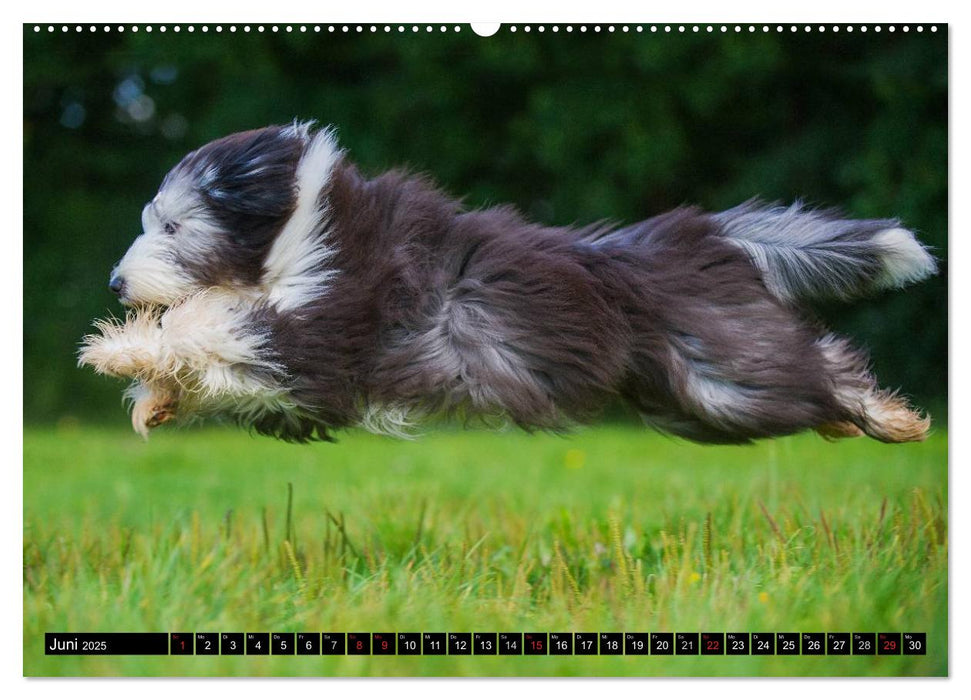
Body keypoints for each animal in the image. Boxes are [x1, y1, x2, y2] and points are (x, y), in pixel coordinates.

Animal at [81, 121, 936, 442]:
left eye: (172, 226)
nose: (118, 283)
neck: (304, 229)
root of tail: (691, 237)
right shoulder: (300, 384)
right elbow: (218, 361)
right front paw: (153, 393)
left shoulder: (327, 327)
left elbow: (218, 322)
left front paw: (118, 353)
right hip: (687, 395)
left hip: (720, 372)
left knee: (817, 369)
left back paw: (887, 418)